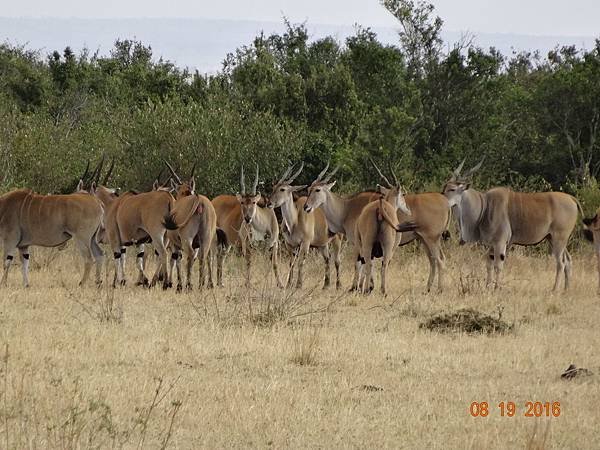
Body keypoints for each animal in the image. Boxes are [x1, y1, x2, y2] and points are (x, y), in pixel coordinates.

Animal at [163, 162, 217, 292]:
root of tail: (199, 200)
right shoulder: (197, 244)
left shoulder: (175, 244)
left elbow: (177, 260)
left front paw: (179, 286)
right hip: (206, 238)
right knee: (205, 256)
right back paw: (203, 285)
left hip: (187, 238)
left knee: (191, 255)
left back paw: (189, 285)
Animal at [356, 163, 418, 294]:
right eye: (403, 194)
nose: (408, 210)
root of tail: (379, 209)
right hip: (387, 247)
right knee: (383, 266)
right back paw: (382, 291)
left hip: (367, 246)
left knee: (369, 264)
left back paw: (366, 289)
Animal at [440, 160, 580, 290]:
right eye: (444, 187)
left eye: (452, 189)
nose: (441, 199)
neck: (485, 207)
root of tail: (571, 199)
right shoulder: (491, 244)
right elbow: (489, 264)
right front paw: (487, 287)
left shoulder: (500, 242)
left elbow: (498, 266)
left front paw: (496, 288)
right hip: (553, 239)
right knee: (568, 260)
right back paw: (566, 290)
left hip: (559, 238)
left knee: (561, 263)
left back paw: (555, 290)